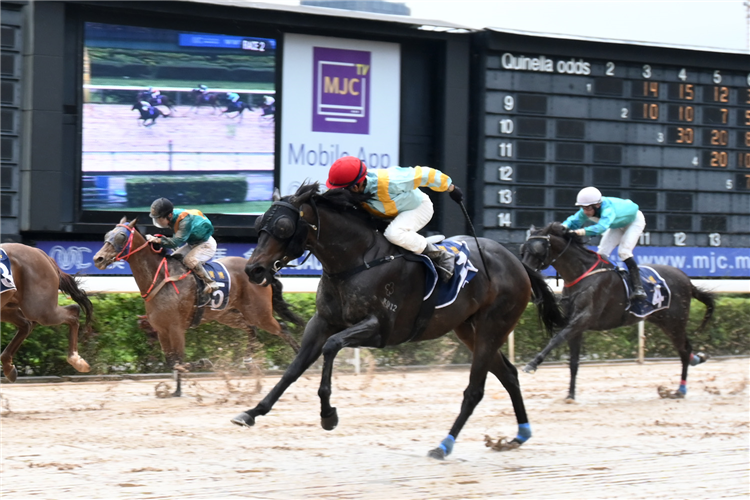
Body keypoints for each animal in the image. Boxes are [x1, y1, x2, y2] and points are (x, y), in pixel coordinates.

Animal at [0, 244, 93, 380]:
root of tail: (42, 253)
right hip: (8, 307)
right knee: (27, 325)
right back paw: (9, 368)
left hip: (40, 309)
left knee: (74, 312)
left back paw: (76, 360)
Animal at [93, 217, 302, 396]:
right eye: (106, 235)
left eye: (121, 236)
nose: (98, 259)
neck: (159, 278)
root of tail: (260, 270)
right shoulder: (162, 330)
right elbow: (171, 361)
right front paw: (175, 390)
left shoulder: (176, 328)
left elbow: (179, 359)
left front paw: (201, 365)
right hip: (229, 315)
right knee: (252, 330)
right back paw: (252, 369)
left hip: (259, 312)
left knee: (282, 328)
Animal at [232, 182, 568, 458]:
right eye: (259, 224)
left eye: (283, 226)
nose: (254, 270)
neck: (357, 260)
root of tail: (518, 263)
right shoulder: (322, 322)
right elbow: (294, 368)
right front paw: (252, 412)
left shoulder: (381, 329)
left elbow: (331, 347)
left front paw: (328, 415)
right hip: (468, 330)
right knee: (508, 374)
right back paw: (518, 435)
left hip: (492, 327)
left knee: (475, 390)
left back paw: (443, 445)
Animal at [520, 223, 712, 398]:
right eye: (523, 250)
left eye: (537, 249)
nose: (526, 274)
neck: (581, 274)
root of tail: (687, 280)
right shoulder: (574, 324)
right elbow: (573, 360)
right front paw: (570, 395)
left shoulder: (583, 318)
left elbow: (556, 339)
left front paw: (532, 364)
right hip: (664, 321)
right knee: (685, 349)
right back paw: (696, 360)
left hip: (675, 322)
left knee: (684, 351)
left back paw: (680, 390)